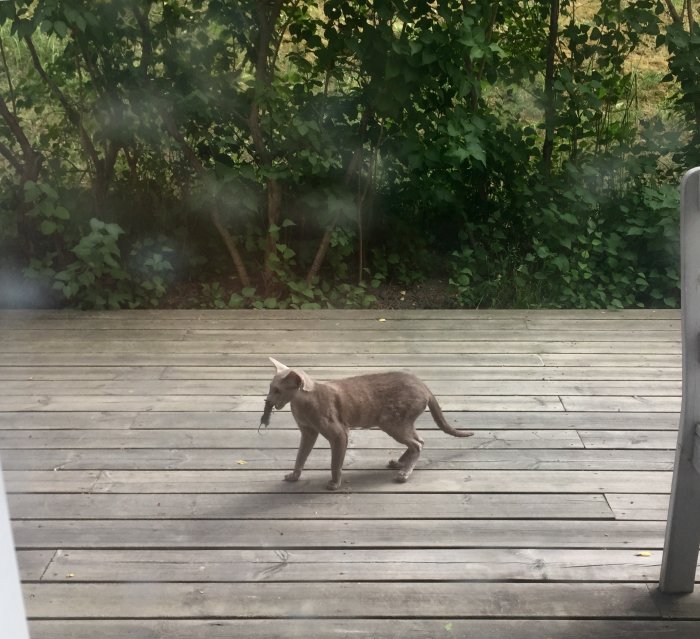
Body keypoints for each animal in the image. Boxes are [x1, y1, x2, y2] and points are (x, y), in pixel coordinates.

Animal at [262, 358, 476, 492]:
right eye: (270, 388)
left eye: (278, 390)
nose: (267, 400)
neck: (301, 405)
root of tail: (424, 386)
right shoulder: (308, 432)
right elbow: (300, 456)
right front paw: (294, 476)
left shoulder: (339, 433)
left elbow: (335, 463)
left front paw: (335, 483)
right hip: (400, 422)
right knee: (419, 440)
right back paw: (399, 463)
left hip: (391, 421)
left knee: (418, 444)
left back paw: (403, 474)